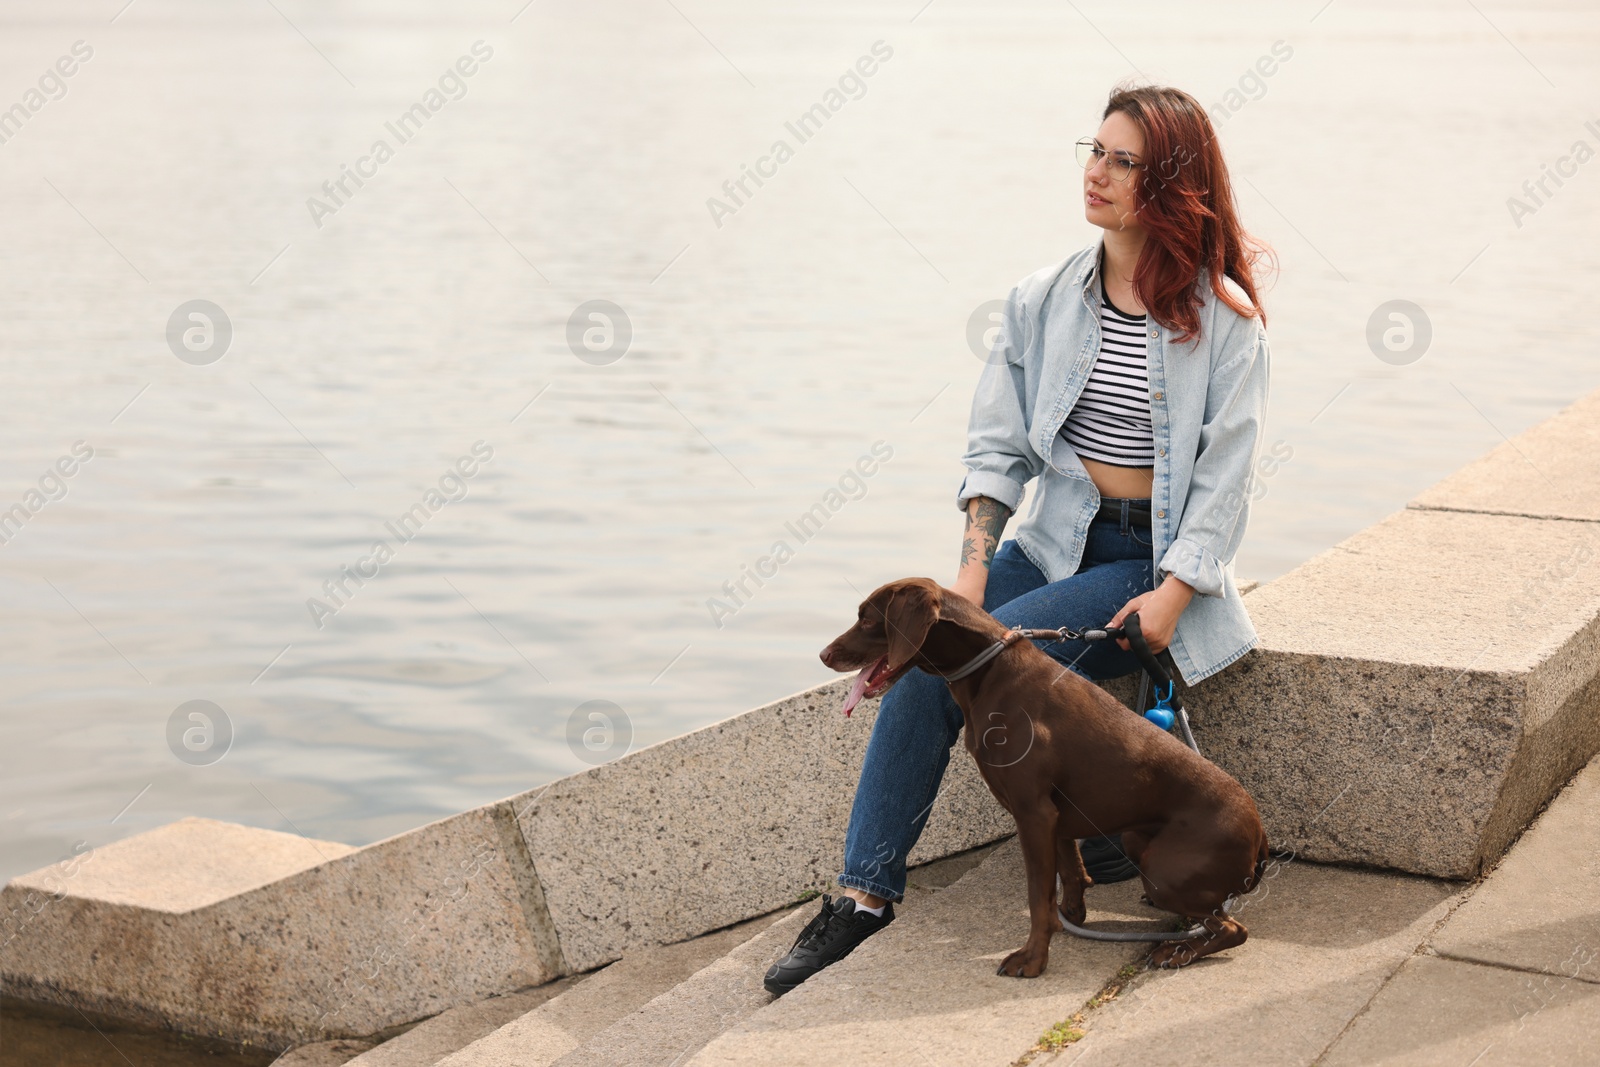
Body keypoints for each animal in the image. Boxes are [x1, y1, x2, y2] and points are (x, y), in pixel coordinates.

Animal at [825, 579, 1260, 972]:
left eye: (867, 619)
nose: (823, 654)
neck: (990, 670)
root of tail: (1259, 833)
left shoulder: (1033, 814)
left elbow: (1038, 897)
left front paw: (1032, 959)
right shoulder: (1058, 818)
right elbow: (1070, 876)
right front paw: (1071, 917)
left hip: (1163, 871)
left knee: (1233, 929)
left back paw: (1177, 951)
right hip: (1138, 840)